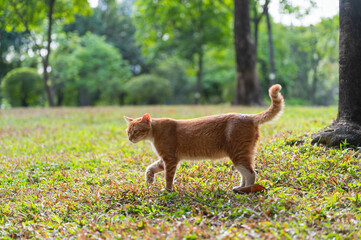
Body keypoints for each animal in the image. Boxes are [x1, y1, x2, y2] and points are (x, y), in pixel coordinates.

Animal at [125, 83, 282, 192]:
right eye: (128, 132)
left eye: (136, 131)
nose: (130, 139)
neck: (155, 132)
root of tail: (249, 116)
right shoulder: (165, 159)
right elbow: (150, 167)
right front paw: (149, 179)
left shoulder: (170, 159)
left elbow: (169, 177)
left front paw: (167, 190)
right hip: (242, 155)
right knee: (245, 174)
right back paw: (239, 187)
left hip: (238, 154)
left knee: (251, 173)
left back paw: (245, 190)